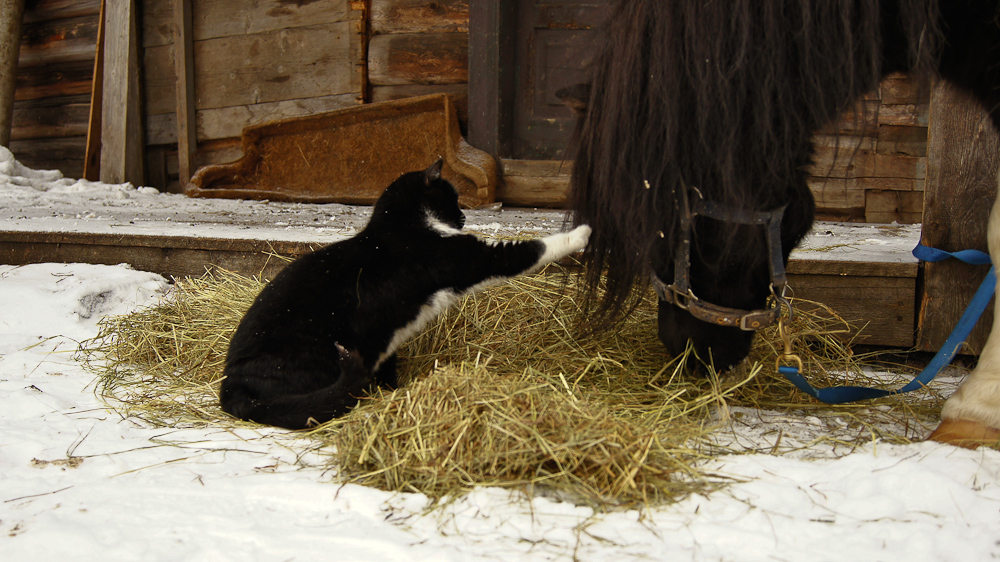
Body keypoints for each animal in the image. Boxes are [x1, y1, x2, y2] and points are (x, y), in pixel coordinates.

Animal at [219, 160, 588, 426]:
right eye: (452, 198)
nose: (463, 216)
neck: (402, 226)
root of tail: (231, 386)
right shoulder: (472, 259)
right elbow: (532, 249)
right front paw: (582, 233)